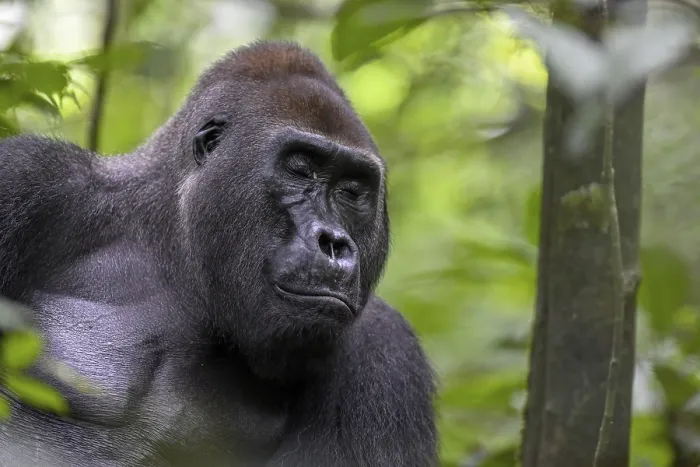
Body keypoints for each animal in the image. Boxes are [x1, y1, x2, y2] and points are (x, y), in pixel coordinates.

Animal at [0, 40, 437, 467]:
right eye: (299, 169)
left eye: (352, 191)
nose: (333, 242)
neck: (175, 253)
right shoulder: (30, 176)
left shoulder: (385, 351)